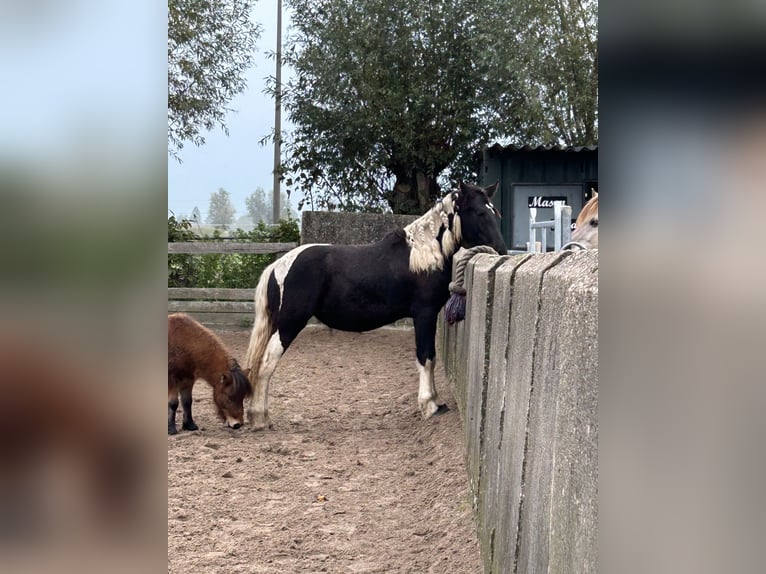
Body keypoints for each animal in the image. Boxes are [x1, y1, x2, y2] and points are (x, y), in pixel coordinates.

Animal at [248, 182, 510, 430]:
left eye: (494, 212)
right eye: (479, 212)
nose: (502, 251)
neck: (422, 255)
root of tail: (277, 266)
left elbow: (431, 357)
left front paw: (434, 401)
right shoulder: (424, 314)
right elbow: (425, 357)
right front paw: (430, 406)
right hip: (288, 324)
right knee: (266, 364)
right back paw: (260, 418)